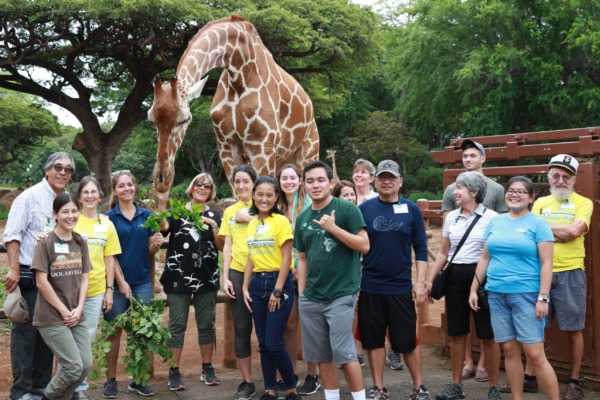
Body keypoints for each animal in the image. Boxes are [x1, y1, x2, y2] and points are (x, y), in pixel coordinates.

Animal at [148, 15, 318, 195]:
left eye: (184, 120)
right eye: (152, 120)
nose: (162, 180)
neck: (239, 72)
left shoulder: (262, 147)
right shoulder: (227, 150)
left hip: (308, 153)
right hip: (282, 160)